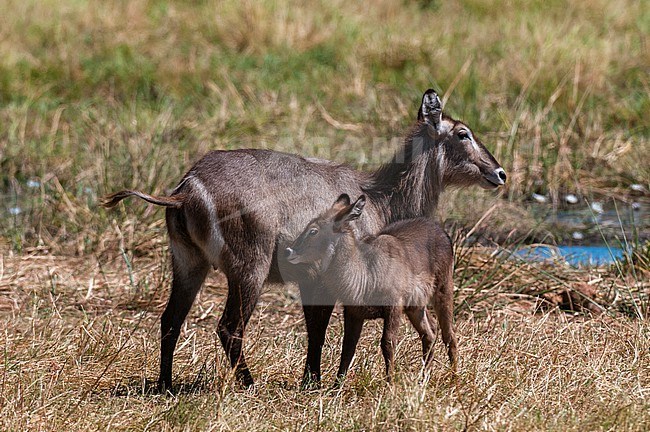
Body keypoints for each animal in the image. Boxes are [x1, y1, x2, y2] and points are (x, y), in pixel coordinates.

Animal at [286, 195, 454, 382]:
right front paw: (337, 385)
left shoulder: (394, 306)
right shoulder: (353, 312)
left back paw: (455, 377)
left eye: (313, 231)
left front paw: (390, 382)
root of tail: (440, 230)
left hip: (443, 289)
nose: (289, 251)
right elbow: (347, 348)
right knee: (430, 332)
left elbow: (387, 343)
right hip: (415, 306)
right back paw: (424, 378)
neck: (365, 274)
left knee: (449, 335)